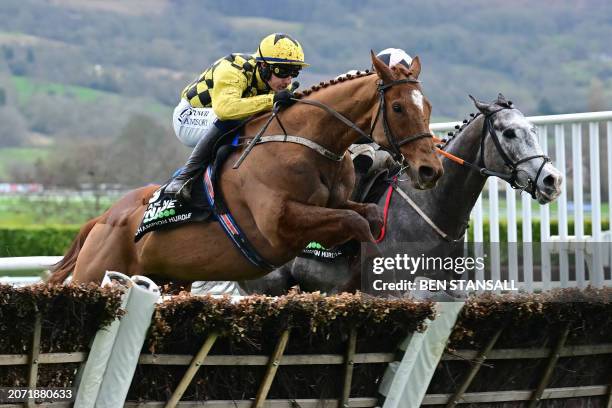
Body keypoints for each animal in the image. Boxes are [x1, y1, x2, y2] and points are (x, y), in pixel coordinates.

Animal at [47, 52, 440, 286]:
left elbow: (368, 213)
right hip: (95, 276)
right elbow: (355, 223)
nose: (430, 169)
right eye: (399, 108)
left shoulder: (336, 203)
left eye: (428, 106)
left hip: (169, 280)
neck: (308, 141)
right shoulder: (279, 225)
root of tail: (102, 219)